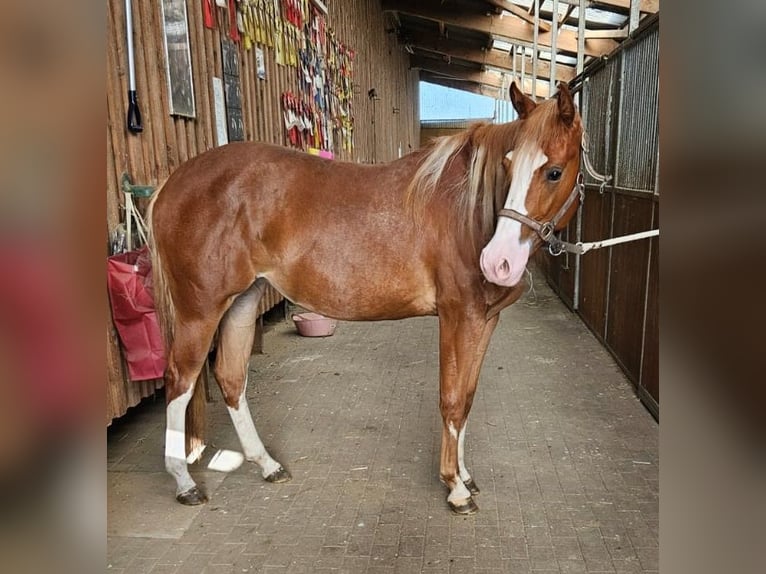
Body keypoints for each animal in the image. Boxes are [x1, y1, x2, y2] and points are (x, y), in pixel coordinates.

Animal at [148, 82, 584, 516]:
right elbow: (452, 399)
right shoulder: (458, 316)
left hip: (242, 300)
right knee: (180, 381)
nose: (498, 262)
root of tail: (172, 184)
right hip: (200, 311)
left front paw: (465, 476)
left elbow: (468, 398)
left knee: (230, 377)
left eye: (554, 171)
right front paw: (455, 487)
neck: (468, 210)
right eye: (508, 166)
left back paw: (268, 465)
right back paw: (185, 483)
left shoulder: (485, 319)